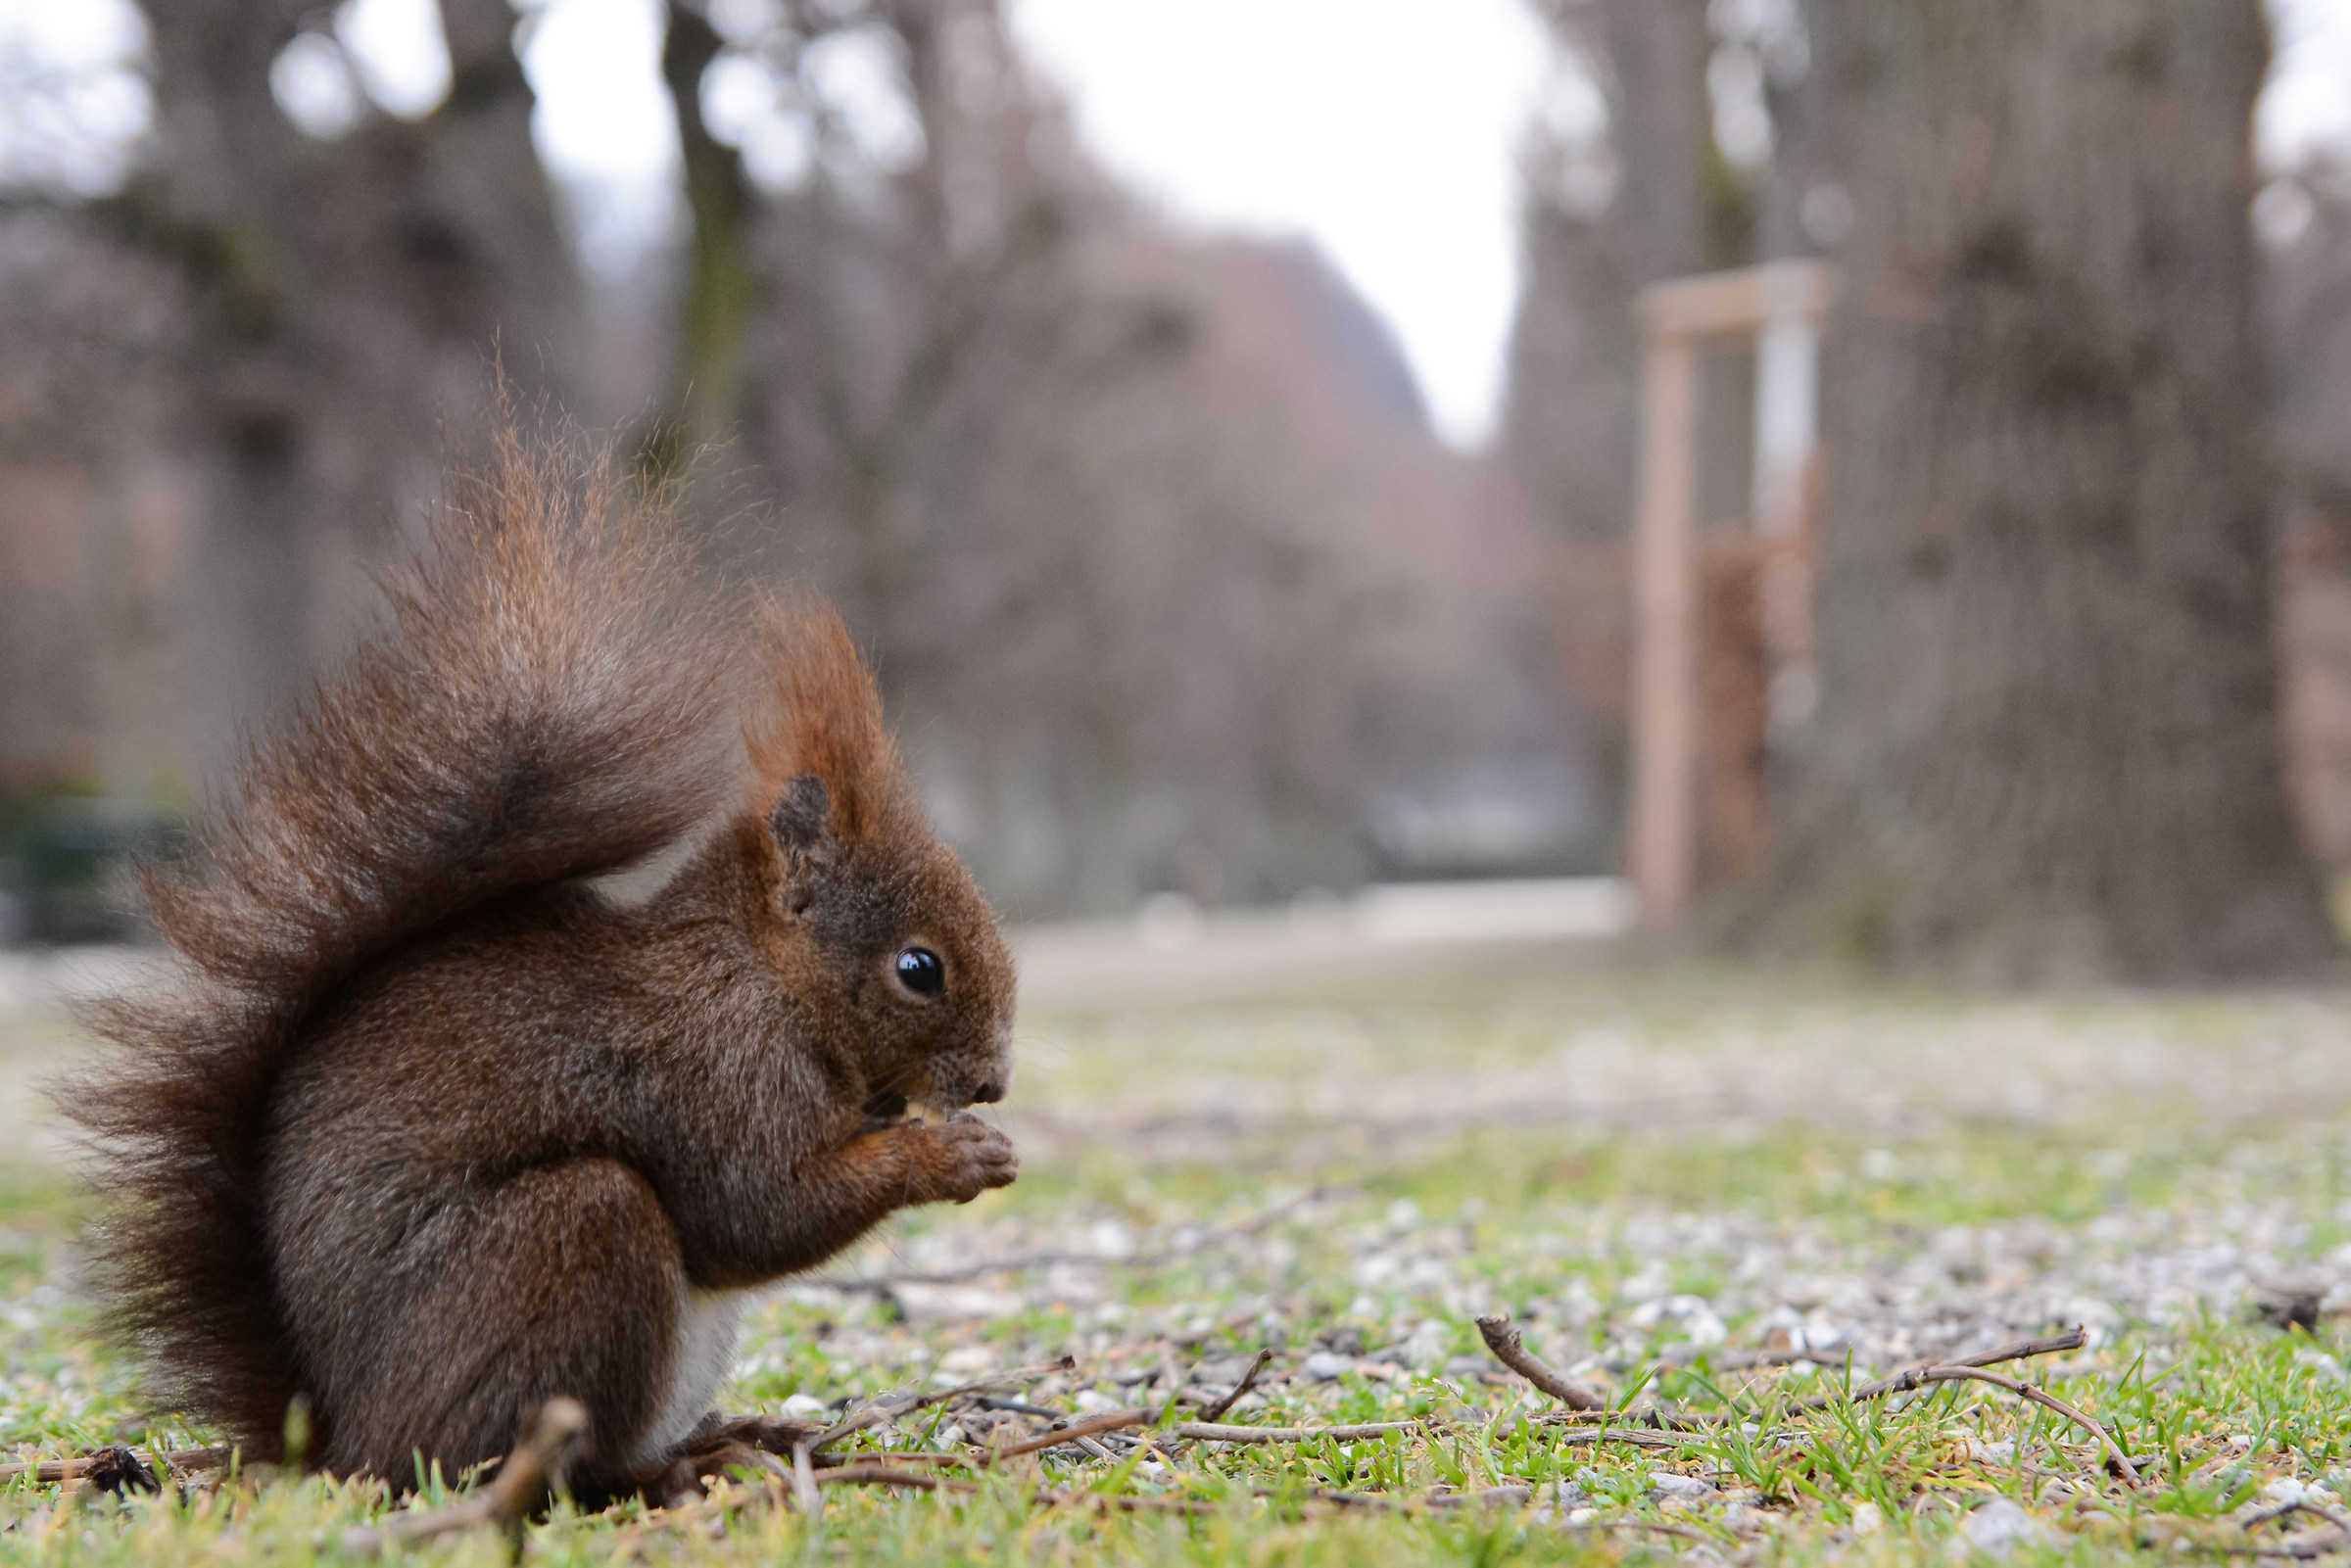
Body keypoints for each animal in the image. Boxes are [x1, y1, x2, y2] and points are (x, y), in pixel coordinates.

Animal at [63, 435, 1019, 1499]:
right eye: (919, 966)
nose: (993, 1081)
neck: (755, 972)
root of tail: (340, 1437)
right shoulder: (707, 1067)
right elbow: (755, 1209)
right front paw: (952, 1154)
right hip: (568, 1240)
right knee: (510, 1459)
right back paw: (664, 1471)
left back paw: (726, 1437)